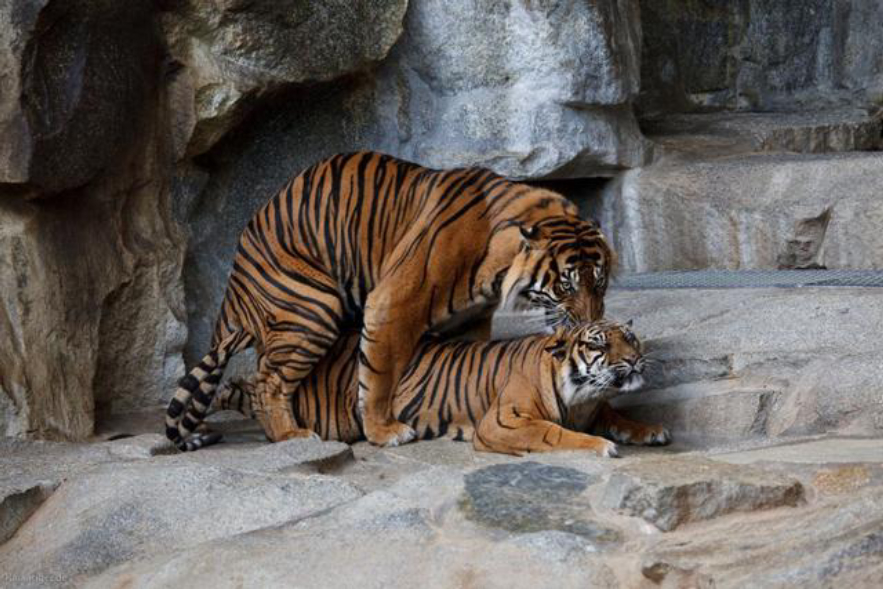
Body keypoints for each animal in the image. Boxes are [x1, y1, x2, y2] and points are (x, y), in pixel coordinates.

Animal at [166, 150, 616, 450]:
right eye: (566, 286)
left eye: (600, 285)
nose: (586, 323)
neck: (497, 263)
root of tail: (235, 280)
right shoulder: (392, 303)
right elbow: (379, 374)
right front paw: (384, 431)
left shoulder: (472, 317)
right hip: (313, 307)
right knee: (269, 382)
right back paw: (292, 434)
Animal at [212, 320, 668, 458]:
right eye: (599, 345)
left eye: (631, 337)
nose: (634, 360)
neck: (580, 398)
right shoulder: (502, 421)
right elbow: (553, 433)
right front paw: (600, 445)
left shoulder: (596, 406)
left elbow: (617, 413)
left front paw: (649, 430)